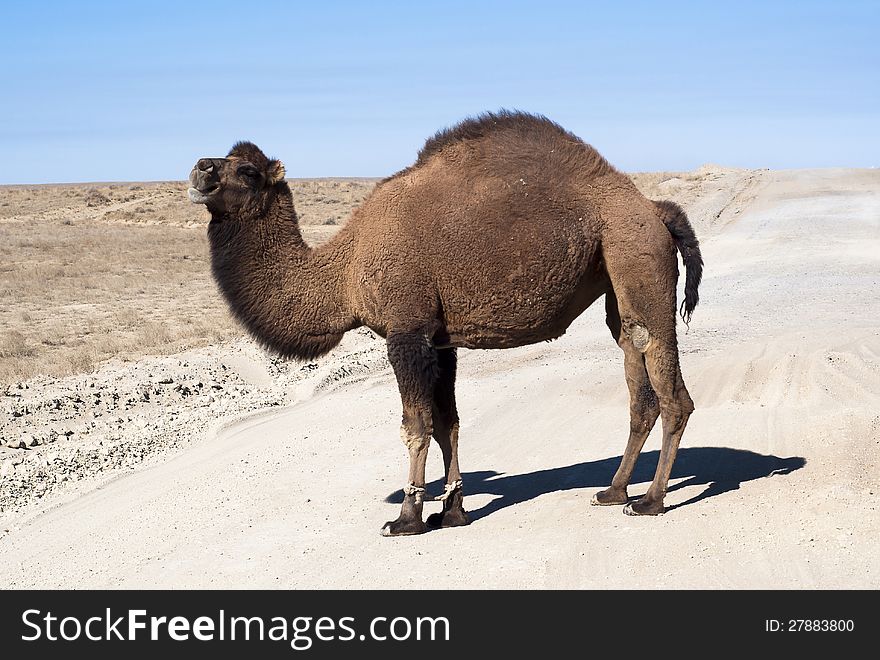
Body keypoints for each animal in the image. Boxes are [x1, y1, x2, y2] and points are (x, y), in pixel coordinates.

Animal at [189, 111, 704, 536]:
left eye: (248, 171)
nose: (199, 169)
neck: (346, 271)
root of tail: (653, 208)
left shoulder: (406, 331)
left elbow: (415, 425)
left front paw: (406, 518)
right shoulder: (439, 341)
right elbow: (447, 424)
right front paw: (453, 510)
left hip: (636, 252)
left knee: (671, 388)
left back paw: (651, 501)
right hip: (618, 273)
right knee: (638, 375)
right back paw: (614, 492)